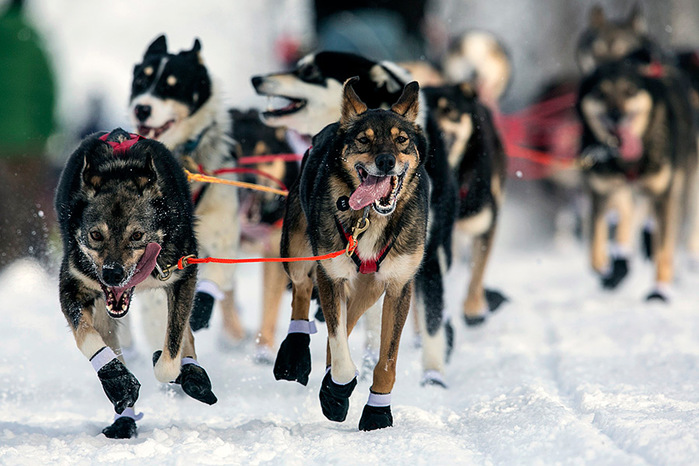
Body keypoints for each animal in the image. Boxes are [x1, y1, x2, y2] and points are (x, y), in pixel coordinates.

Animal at [55, 129, 216, 438]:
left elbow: (171, 352)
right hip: (104, 312)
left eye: (137, 235)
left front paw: (180, 368)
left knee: (184, 331)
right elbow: (86, 338)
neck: (119, 170)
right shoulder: (72, 285)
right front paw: (116, 379)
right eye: (95, 235)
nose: (112, 274)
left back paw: (192, 373)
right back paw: (123, 416)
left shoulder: (182, 276)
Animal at [276, 79, 430, 430]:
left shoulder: (399, 287)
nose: (386, 161)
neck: (370, 217)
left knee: (349, 322)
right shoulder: (330, 276)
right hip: (297, 250)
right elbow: (341, 353)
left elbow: (386, 362)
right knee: (303, 291)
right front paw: (337, 389)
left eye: (401, 140)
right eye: (363, 139)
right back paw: (296, 352)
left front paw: (377, 413)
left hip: (369, 289)